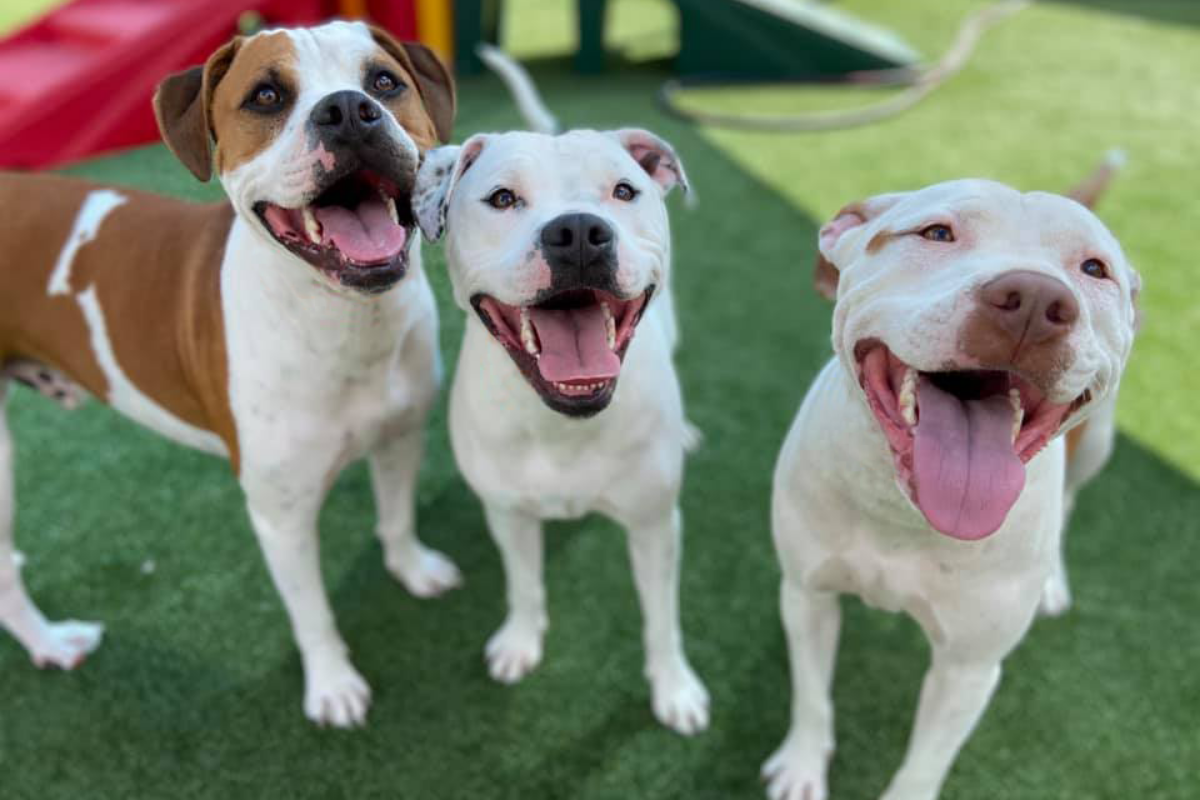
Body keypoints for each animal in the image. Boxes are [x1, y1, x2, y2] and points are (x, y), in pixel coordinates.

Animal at [0, 21, 456, 729]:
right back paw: (49, 642)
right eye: (266, 96)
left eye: (384, 81)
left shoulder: (401, 435)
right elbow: (311, 611)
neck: (348, 323)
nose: (349, 110)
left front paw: (411, 568)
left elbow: (397, 516)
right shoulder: (280, 516)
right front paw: (332, 684)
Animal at [412, 50, 705, 734]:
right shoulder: (509, 514)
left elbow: (662, 619)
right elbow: (525, 585)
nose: (576, 232)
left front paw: (674, 688)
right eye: (501, 198)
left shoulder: (655, 525)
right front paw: (521, 642)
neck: (561, 422)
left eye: (623, 191)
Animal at [763, 176, 1137, 800]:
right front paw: (801, 768)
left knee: (1070, 499)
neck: (904, 510)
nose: (1034, 299)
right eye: (937, 232)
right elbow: (812, 697)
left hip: (1099, 443)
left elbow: (924, 765)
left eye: (1094, 268)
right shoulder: (806, 594)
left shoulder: (968, 669)